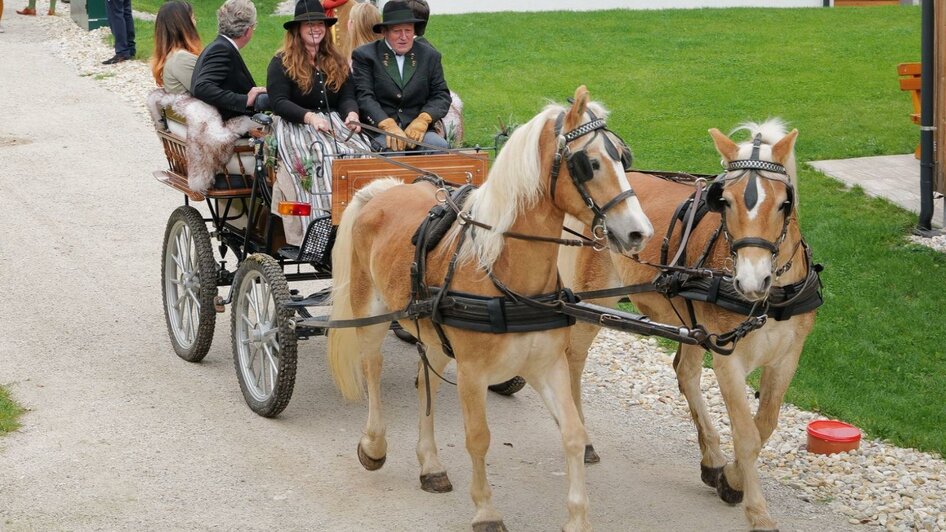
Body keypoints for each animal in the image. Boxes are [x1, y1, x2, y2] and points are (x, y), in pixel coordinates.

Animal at [560, 120, 820, 532]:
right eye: (724, 201)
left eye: (784, 203)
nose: (751, 280)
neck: (770, 299)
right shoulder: (729, 359)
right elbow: (746, 433)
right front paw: (755, 507)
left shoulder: (787, 357)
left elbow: (765, 424)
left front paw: (730, 477)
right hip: (593, 298)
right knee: (574, 358)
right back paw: (583, 438)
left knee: (685, 373)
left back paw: (712, 459)